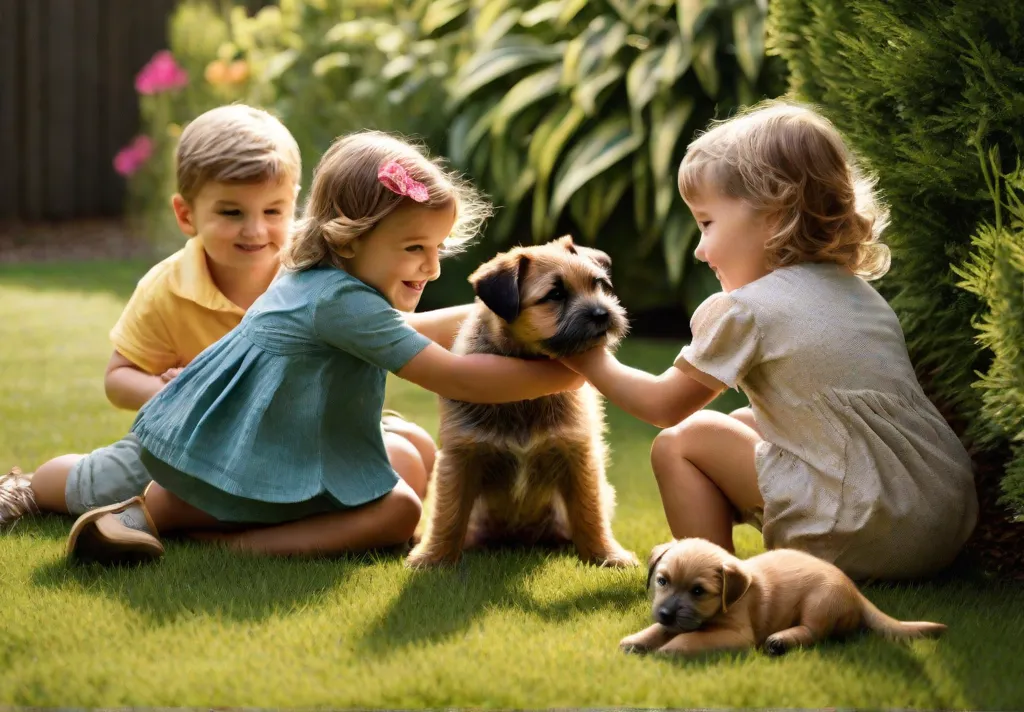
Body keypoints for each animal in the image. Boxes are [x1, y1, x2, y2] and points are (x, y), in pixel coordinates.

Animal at [407, 236, 638, 569]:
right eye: (556, 294)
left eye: (597, 285)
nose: (603, 314)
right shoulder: (460, 456)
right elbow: (448, 514)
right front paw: (432, 559)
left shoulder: (578, 455)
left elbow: (589, 511)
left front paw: (606, 555)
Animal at [622, 540, 950, 655]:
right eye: (662, 581)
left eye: (698, 591)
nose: (666, 613)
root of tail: (855, 592)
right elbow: (659, 630)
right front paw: (638, 640)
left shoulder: (736, 634)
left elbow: (691, 638)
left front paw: (669, 649)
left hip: (820, 601)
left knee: (815, 633)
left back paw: (780, 641)